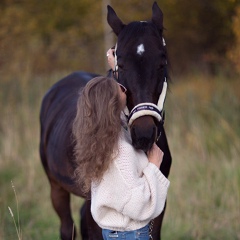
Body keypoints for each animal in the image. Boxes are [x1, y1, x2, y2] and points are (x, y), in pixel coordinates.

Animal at [39, 2, 171, 240]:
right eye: (122, 64)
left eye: (162, 62)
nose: (144, 134)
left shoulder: (159, 202)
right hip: (57, 187)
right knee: (68, 227)